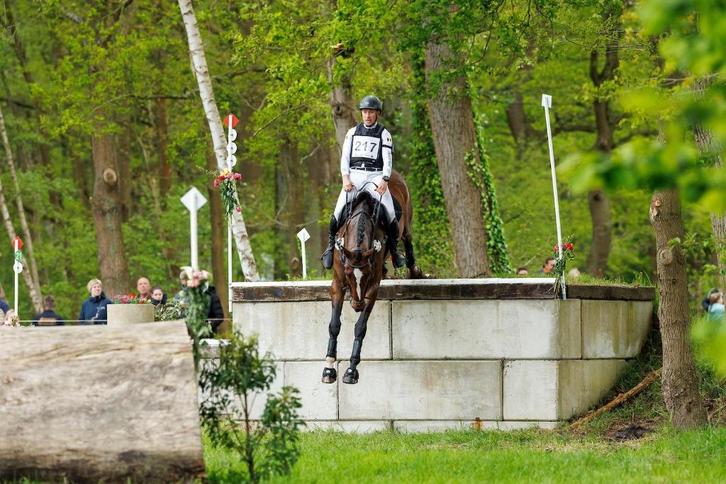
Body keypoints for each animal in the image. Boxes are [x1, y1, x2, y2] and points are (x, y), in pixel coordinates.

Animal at [321, 171, 422, 385]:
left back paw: (414, 271)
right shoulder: (337, 284)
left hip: (407, 224)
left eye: (366, 275)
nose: (357, 305)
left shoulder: (373, 288)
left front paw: (351, 370)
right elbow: (334, 325)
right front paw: (329, 367)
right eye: (349, 274)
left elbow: (360, 327)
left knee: (407, 241)